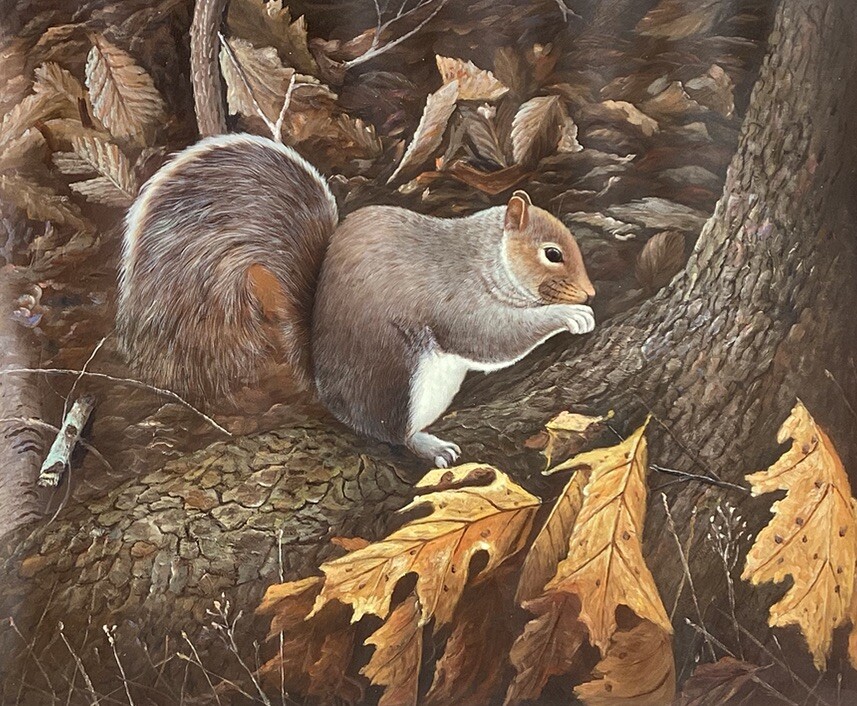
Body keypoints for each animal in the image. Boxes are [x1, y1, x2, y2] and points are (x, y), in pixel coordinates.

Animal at [117, 133, 596, 466]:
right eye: (552, 254)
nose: (591, 291)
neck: (483, 256)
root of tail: (325, 389)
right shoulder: (456, 299)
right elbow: (493, 337)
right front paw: (570, 314)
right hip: (395, 383)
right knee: (392, 432)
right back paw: (426, 443)